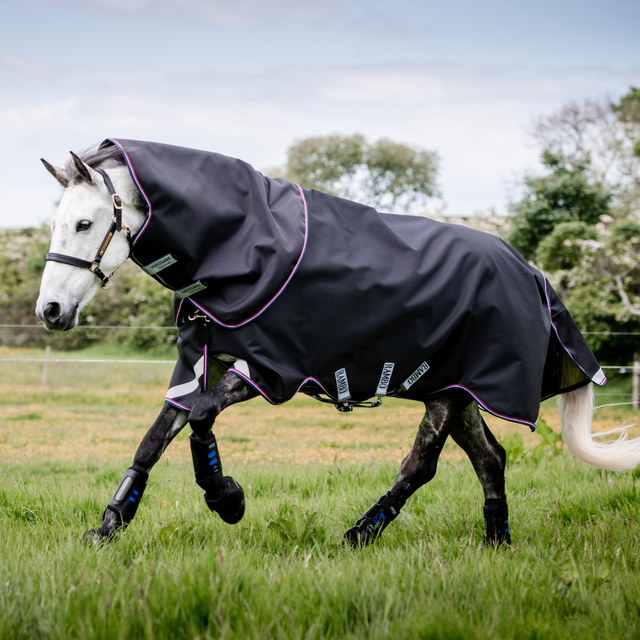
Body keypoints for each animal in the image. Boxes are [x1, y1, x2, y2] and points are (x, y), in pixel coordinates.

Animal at [37, 139, 640, 544]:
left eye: (86, 224)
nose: (50, 311)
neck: (247, 248)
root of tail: (530, 270)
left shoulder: (270, 368)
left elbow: (202, 419)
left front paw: (225, 498)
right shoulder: (202, 360)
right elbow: (155, 437)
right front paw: (110, 525)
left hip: (448, 392)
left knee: (421, 464)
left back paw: (361, 533)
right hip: (456, 387)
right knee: (490, 458)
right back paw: (496, 543)